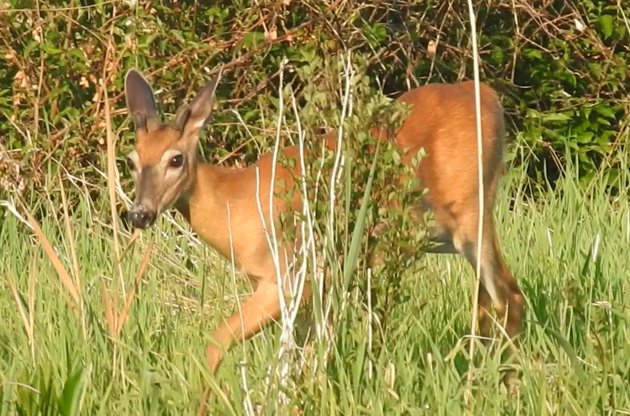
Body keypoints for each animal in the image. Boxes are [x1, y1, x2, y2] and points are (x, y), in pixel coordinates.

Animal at [121, 67, 524, 384]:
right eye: (132, 160)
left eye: (175, 159)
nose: (139, 214)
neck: (235, 202)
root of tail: (489, 97)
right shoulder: (301, 291)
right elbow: (298, 360)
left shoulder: (288, 277)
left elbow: (218, 342)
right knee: (493, 300)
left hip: (472, 215)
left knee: (508, 297)